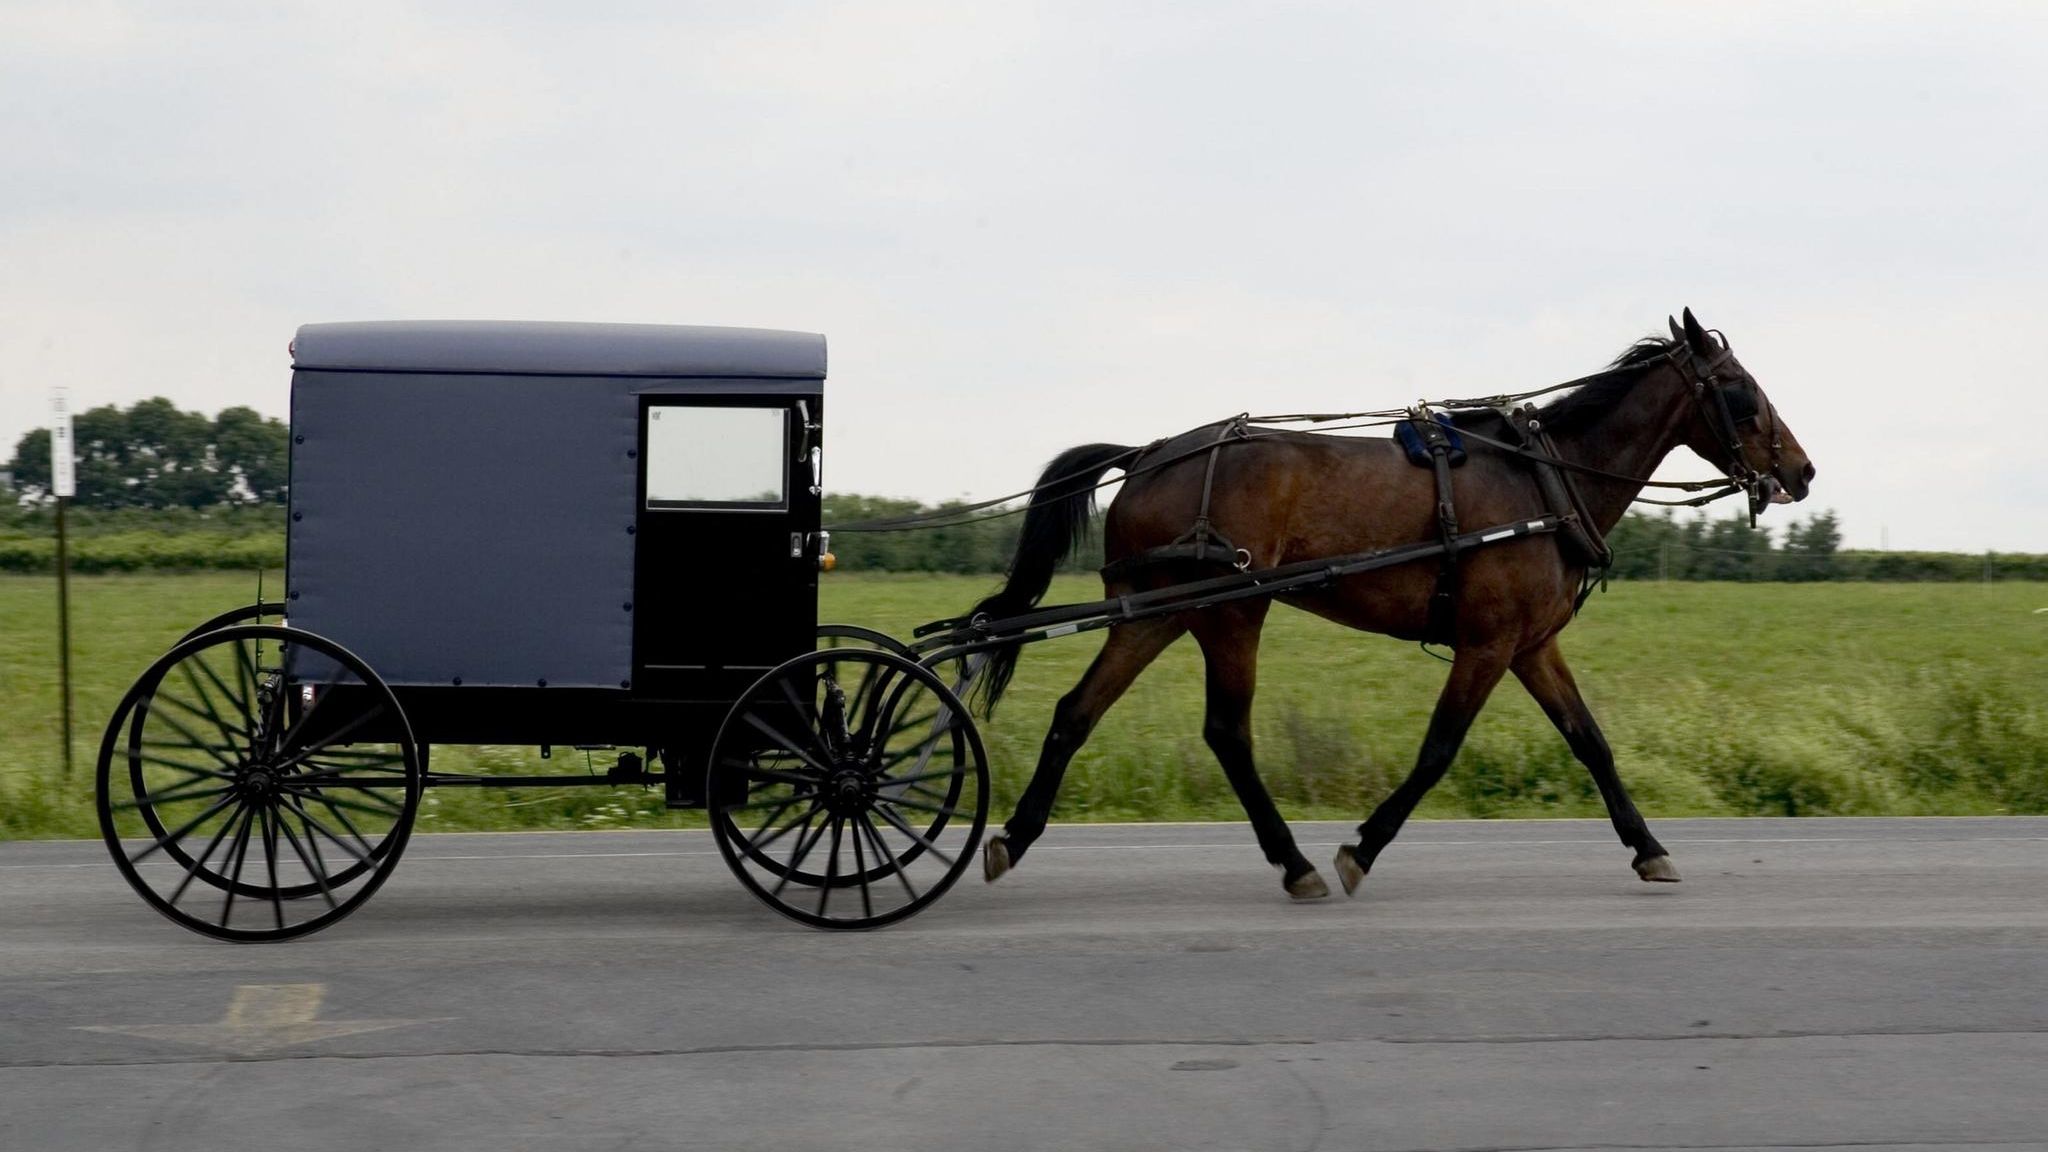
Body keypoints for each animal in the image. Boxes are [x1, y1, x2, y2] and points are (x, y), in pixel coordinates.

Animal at [966, 311, 1818, 897]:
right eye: (1741, 393)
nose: (1803, 471)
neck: (1542, 482)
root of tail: (1146, 454)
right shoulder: (1487, 644)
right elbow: (1438, 749)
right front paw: (1360, 848)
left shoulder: (1531, 645)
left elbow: (1591, 742)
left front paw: (1649, 848)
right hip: (1231, 612)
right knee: (1226, 733)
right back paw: (1296, 862)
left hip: (1160, 612)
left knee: (1078, 712)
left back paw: (1016, 835)